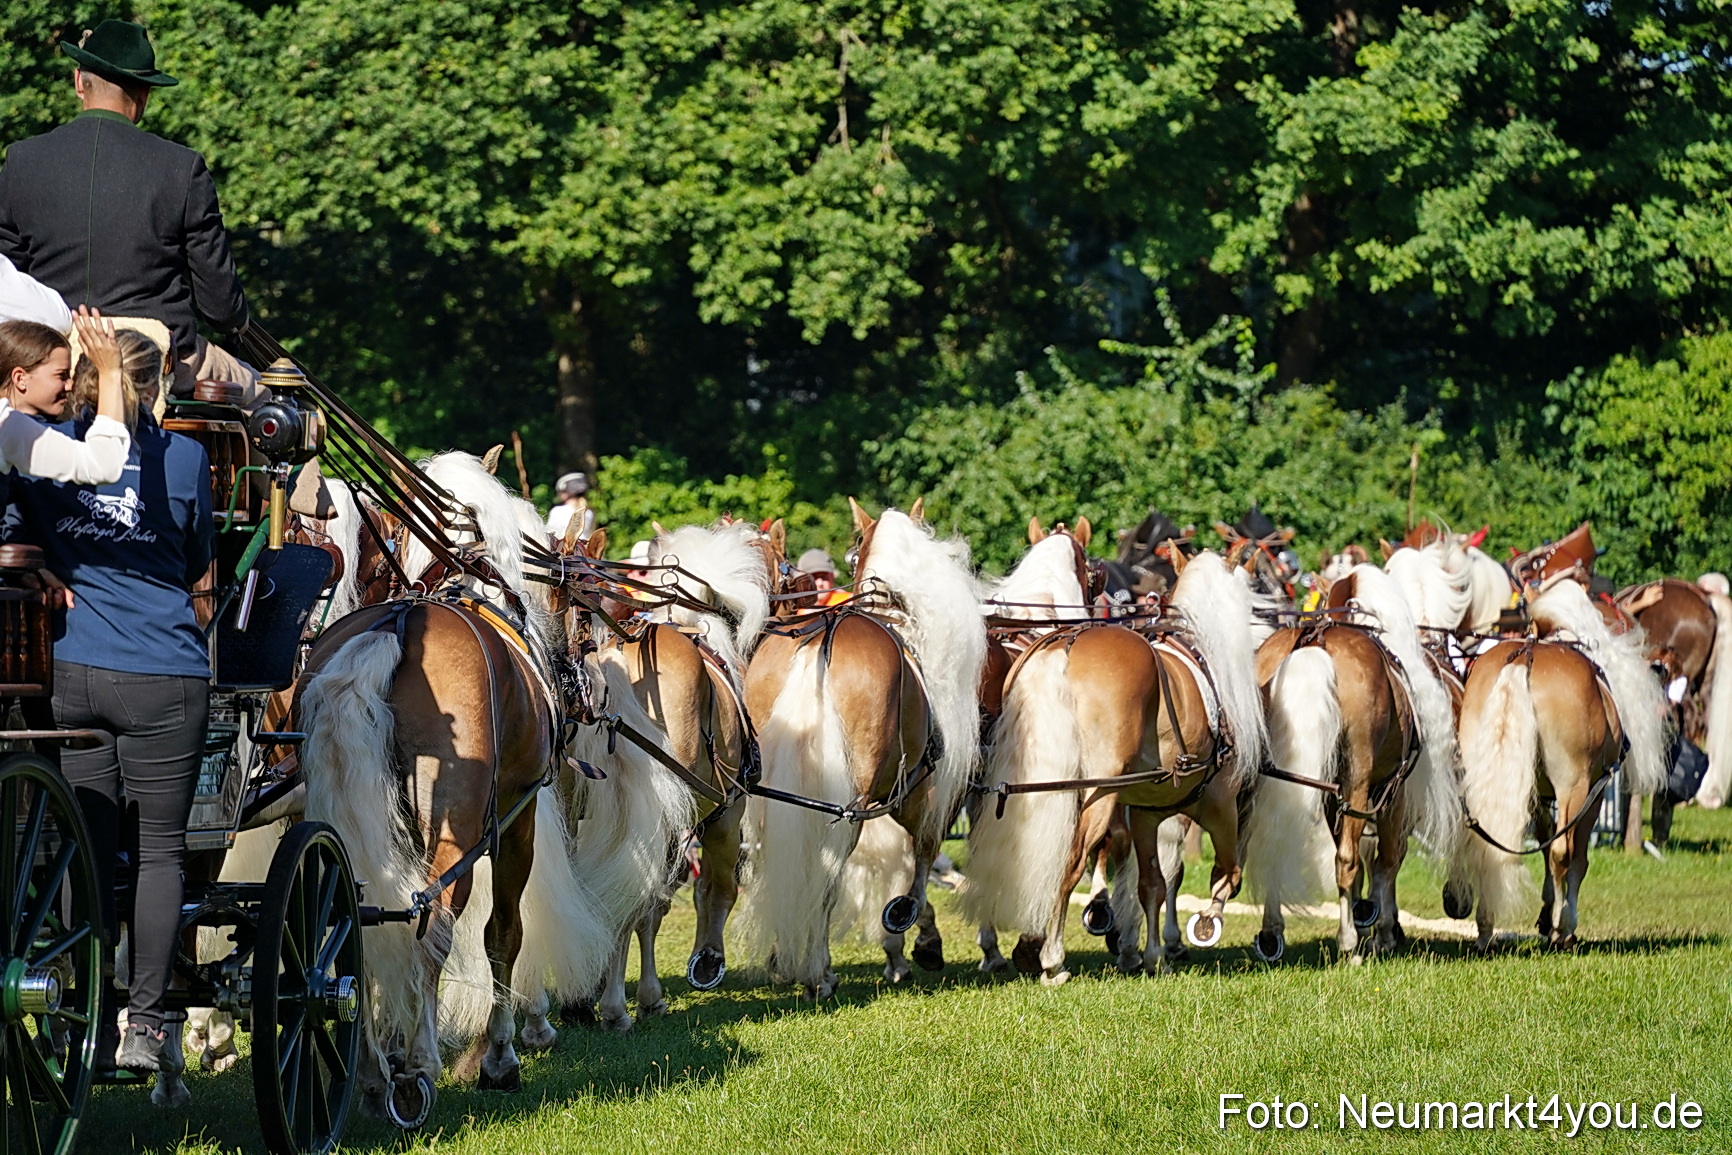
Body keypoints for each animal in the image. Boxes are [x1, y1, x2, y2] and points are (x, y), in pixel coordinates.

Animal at [741, 500, 985, 997]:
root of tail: (821, 636)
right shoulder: (921, 793)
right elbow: (922, 860)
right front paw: (921, 938)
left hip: (769, 791)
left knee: (770, 856)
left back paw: (785, 956)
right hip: (851, 806)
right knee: (829, 870)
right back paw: (818, 970)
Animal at [962, 546, 1266, 983]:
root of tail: (1066, 644)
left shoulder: (1145, 812)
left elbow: (1153, 883)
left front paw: (1154, 954)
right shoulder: (1220, 807)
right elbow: (1227, 875)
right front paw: (1205, 923)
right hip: (1099, 794)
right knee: (1069, 862)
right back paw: (1052, 960)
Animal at [1243, 563, 1460, 963]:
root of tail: (1315, 641)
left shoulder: (1334, 796)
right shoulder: (1392, 792)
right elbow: (1385, 860)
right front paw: (1382, 930)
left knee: (1275, 842)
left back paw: (1271, 933)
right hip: (1360, 779)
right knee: (1347, 858)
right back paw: (1348, 943)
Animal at [1449, 578, 1670, 951]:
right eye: (1626, 623)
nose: (1661, 666)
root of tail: (1524, 658)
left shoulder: (1536, 793)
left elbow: (1542, 838)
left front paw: (1544, 913)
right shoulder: (1594, 792)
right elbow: (1575, 856)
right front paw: (1562, 923)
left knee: (1487, 840)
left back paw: (1485, 927)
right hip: (1573, 785)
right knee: (1563, 851)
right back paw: (1561, 930)